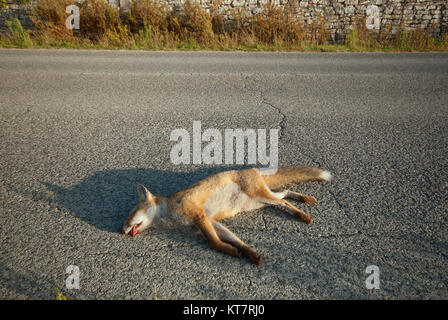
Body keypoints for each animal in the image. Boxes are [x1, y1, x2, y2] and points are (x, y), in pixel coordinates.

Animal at [122, 165, 332, 264]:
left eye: (131, 214)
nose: (121, 229)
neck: (169, 213)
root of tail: (254, 169)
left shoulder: (199, 216)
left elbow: (213, 242)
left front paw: (229, 251)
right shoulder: (211, 223)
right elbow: (235, 240)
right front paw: (249, 253)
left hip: (260, 197)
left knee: (285, 201)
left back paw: (302, 215)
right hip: (258, 202)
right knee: (286, 192)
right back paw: (304, 199)